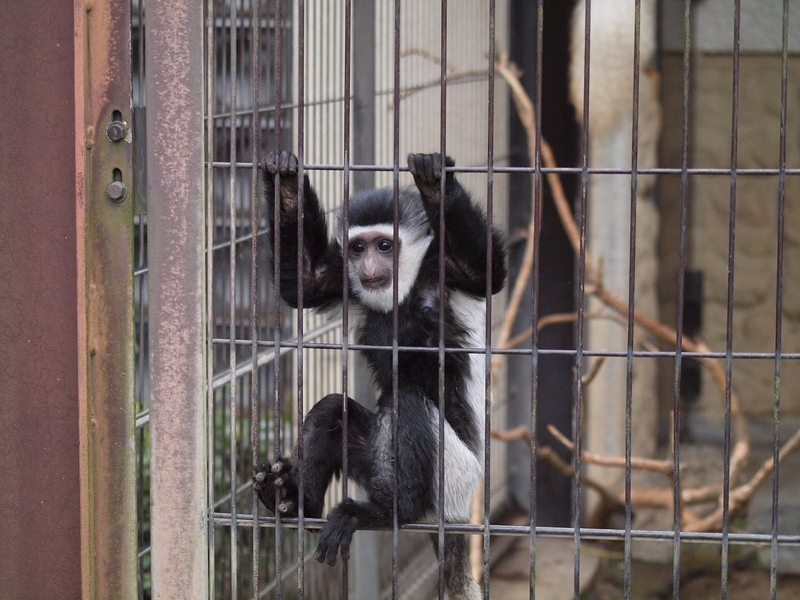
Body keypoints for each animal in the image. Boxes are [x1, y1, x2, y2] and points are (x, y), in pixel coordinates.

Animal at [254, 150, 506, 599]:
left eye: (384, 245)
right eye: (358, 248)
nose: (369, 266)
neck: (403, 291)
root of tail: (456, 516)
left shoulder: (444, 272)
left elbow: (485, 270)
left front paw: (436, 181)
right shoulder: (346, 280)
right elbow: (305, 279)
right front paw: (284, 176)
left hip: (454, 477)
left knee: (406, 403)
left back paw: (385, 512)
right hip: (373, 459)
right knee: (332, 411)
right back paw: (295, 503)